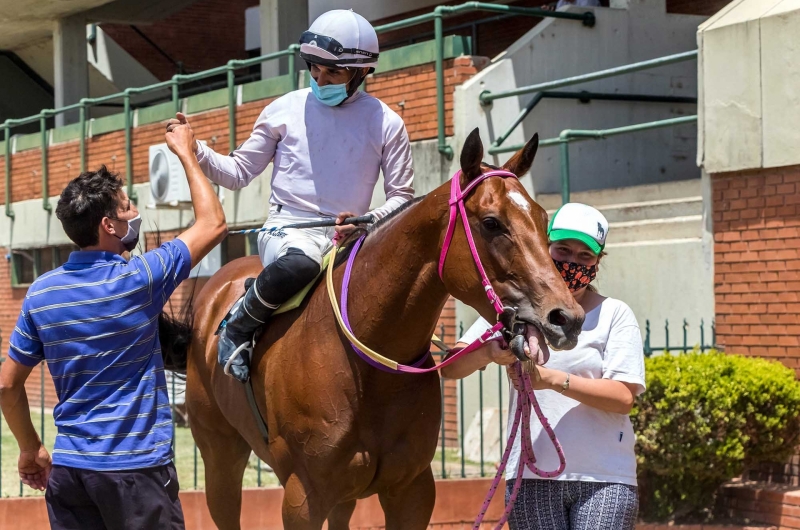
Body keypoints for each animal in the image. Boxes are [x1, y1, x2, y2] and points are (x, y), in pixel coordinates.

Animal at [162, 129, 584, 528]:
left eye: (543, 219)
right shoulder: (303, 497)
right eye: (492, 222)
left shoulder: (412, 489)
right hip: (220, 454)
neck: (367, 366)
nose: (566, 317)